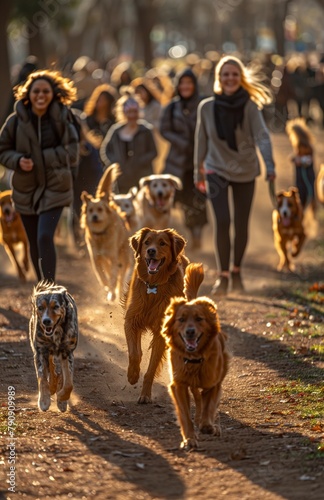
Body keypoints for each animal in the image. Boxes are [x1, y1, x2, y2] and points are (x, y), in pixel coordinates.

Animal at [29, 280, 79, 412]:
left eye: (55, 306)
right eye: (40, 308)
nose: (46, 321)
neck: (56, 333)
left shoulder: (67, 352)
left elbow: (68, 383)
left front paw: (62, 398)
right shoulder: (40, 352)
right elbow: (42, 378)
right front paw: (44, 400)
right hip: (45, 351)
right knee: (51, 369)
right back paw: (52, 387)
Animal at [80, 164, 131, 300]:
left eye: (100, 209)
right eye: (90, 210)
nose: (94, 217)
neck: (100, 235)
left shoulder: (113, 258)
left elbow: (114, 277)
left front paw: (112, 294)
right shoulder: (96, 259)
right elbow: (102, 278)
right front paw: (108, 288)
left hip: (123, 255)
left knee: (121, 275)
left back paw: (118, 291)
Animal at [124, 229, 202, 404]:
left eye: (162, 243)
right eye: (146, 242)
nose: (151, 251)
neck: (153, 286)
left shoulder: (161, 331)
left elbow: (151, 368)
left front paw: (145, 394)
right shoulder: (131, 320)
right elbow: (134, 353)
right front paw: (132, 374)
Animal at [161, 268, 229, 452]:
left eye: (199, 319)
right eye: (181, 319)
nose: (190, 332)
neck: (194, 360)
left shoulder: (213, 383)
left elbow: (209, 406)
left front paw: (208, 426)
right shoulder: (179, 384)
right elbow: (185, 414)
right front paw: (189, 439)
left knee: (204, 403)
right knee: (197, 399)